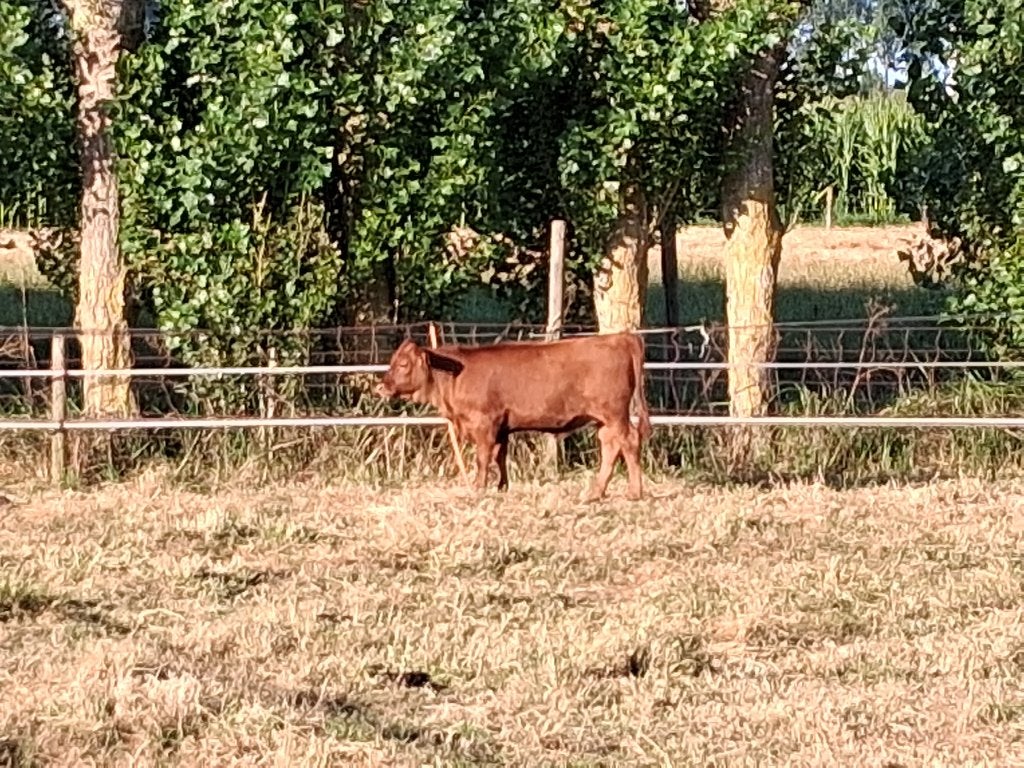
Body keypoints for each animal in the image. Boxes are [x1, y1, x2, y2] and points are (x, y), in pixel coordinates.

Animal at [375, 332, 652, 501]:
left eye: (403, 364)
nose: (381, 386)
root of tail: (621, 337)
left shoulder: (485, 423)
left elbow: (483, 458)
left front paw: (479, 487)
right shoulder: (502, 428)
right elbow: (500, 456)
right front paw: (501, 487)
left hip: (614, 414)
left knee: (628, 442)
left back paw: (634, 492)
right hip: (603, 420)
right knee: (611, 446)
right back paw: (596, 492)